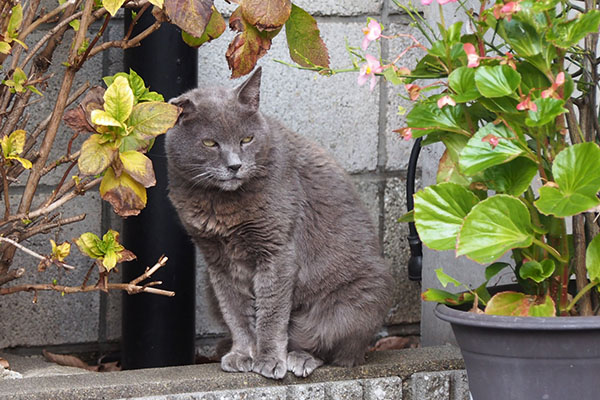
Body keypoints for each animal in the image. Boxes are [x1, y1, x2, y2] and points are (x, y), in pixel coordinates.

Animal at [165, 68, 394, 378]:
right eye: (210, 143)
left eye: (247, 139)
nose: (235, 166)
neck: (219, 204)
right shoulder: (216, 259)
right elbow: (235, 312)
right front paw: (242, 353)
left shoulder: (276, 249)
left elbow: (271, 311)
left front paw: (269, 359)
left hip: (363, 297)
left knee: (335, 349)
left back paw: (300, 357)